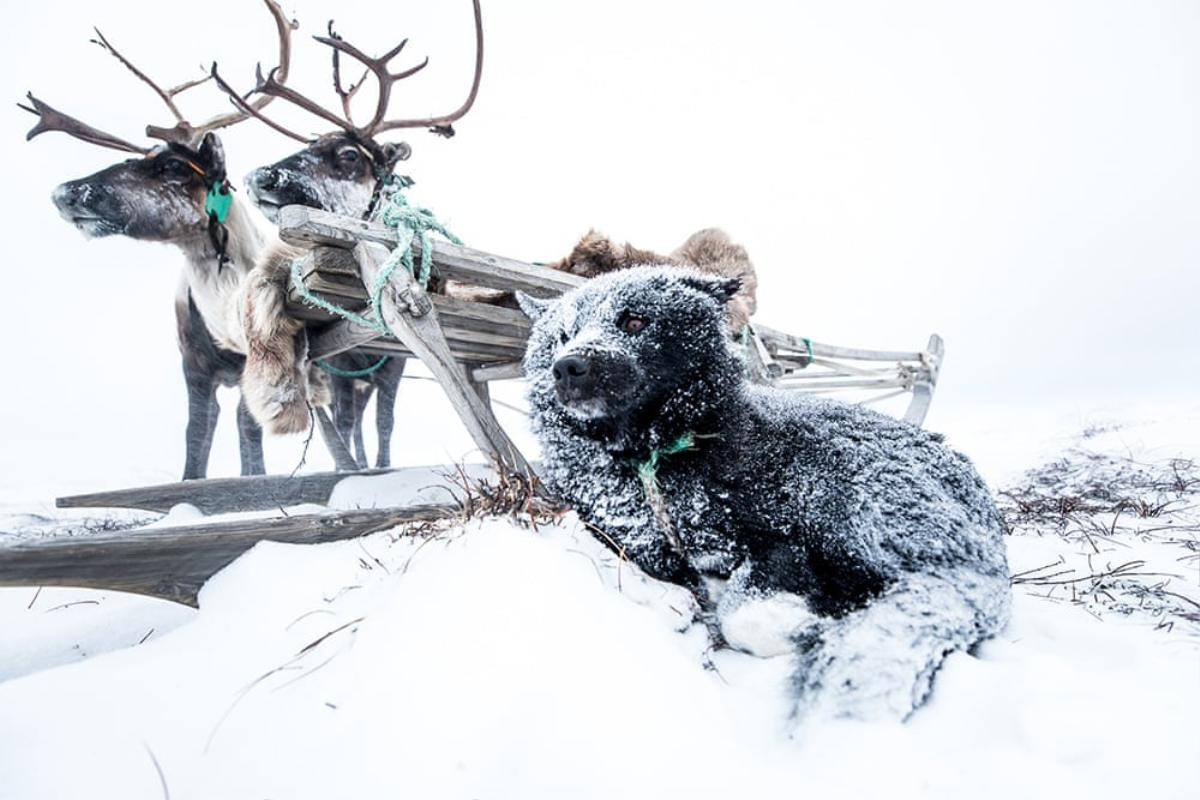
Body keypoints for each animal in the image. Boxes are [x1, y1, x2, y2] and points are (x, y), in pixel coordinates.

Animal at [518, 271, 1012, 724]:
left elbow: (742, 614)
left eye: (635, 320)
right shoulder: (626, 537)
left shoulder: (781, 542)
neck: (652, 458)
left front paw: (799, 624)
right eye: (563, 335)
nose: (568, 366)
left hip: (842, 497)